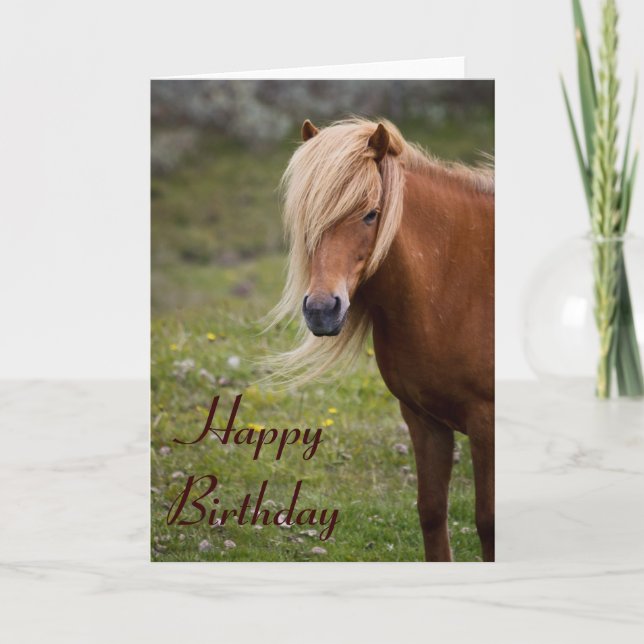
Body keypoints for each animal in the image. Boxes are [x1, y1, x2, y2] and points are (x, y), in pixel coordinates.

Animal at [267, 117, 494, 562]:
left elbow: (487, 523)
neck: (454, 285)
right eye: (308, 216)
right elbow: (431, 512)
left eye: (371, 214)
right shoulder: (423, 419)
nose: (322, 310)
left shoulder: (487, 424)